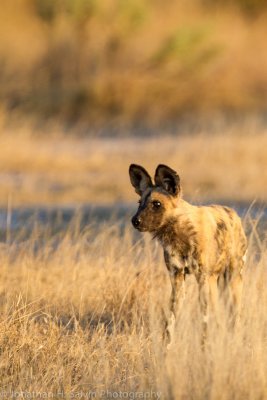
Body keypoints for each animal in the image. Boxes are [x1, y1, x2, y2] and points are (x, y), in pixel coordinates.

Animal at [129, 164, 248, 346]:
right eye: (139, 203)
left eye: (157, 204)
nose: (135, 221)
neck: (179, 235)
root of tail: (233, 213)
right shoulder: (177, 280)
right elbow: (170, 322)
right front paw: (166, 349)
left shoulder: (203, 279)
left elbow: (205, 320)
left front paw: (205, 347)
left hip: (232, 281)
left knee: (234, 316)